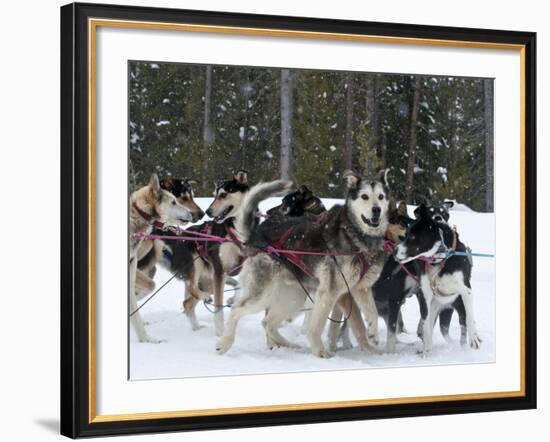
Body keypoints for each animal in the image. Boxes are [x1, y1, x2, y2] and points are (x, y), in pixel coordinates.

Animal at [218, 170, 390, 360]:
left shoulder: (360, 289)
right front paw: (320, 351)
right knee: (237, 310)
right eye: (364, 196)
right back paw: (224, 343)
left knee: (268, 322)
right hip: (265, 295)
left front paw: (372, 340)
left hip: (294, 297)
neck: (356, 235)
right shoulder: (330, 292)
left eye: (380, 197)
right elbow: (317, 327)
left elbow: (370, 315)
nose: (377, 209)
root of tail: (255, 235)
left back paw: (289, 345)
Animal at [396, 204, 484, 356]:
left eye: (412, 236)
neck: (439, 258)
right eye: (405, 235)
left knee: (463, 325)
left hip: (457, 306)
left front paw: (474, 338)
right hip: (435, 309)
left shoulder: (466, 291)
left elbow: (470, 317)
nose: (395, 251)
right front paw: (426, 352)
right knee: (430, 326)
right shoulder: (425, 295)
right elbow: (425, 326)